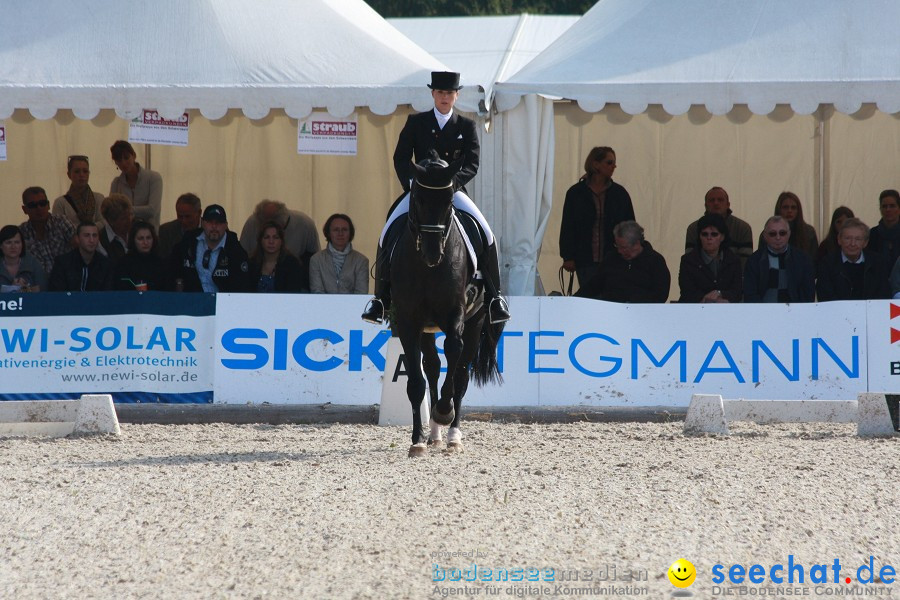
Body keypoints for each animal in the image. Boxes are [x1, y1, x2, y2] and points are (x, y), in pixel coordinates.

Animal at [390, 157, 506, 458]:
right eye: (417, 198)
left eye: (449, 200)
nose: (433, 253)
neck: (428, 269)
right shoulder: (408, 322)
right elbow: (416, 382)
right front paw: (417, 440)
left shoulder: (457, 316)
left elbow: (454, 358)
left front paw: (444, 411)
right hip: (427, 329)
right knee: (432, 368)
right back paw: (434, 435)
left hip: (477, 322)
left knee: (461, 375)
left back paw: (452, 435)